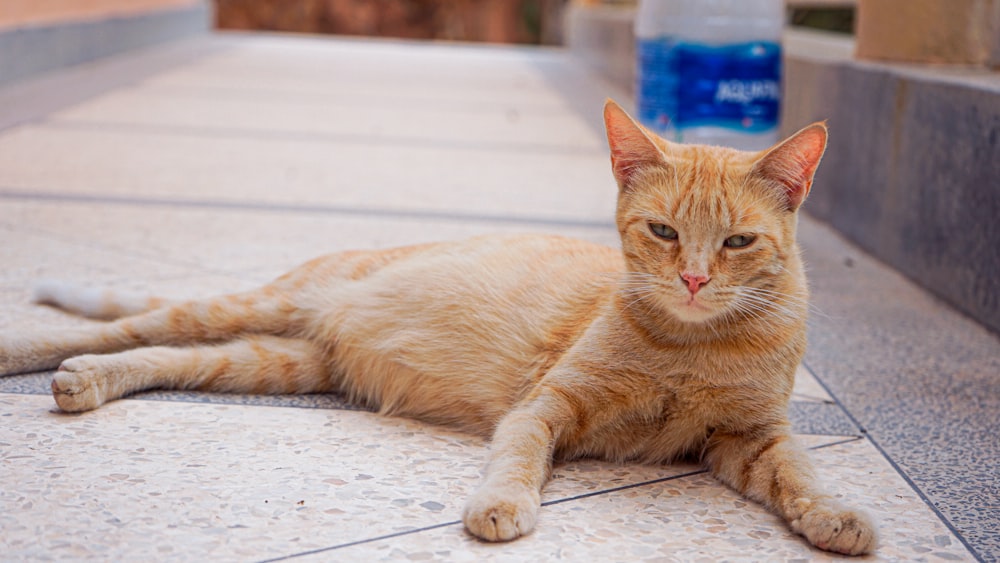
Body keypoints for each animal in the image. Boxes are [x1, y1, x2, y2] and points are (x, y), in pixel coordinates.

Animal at [0, 100, 876, 556]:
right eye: (663, 232)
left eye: (737, 243)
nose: (693, 279)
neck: (695, 345)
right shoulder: (545, 407)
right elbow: (518, 460)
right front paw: (502, 505)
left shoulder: (750, 439)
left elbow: (800, 472)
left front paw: (835, 515)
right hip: (259, 307)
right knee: (132, 325)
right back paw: (36, 354)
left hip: (271, 364)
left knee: (164, 353)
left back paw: (89, 383)